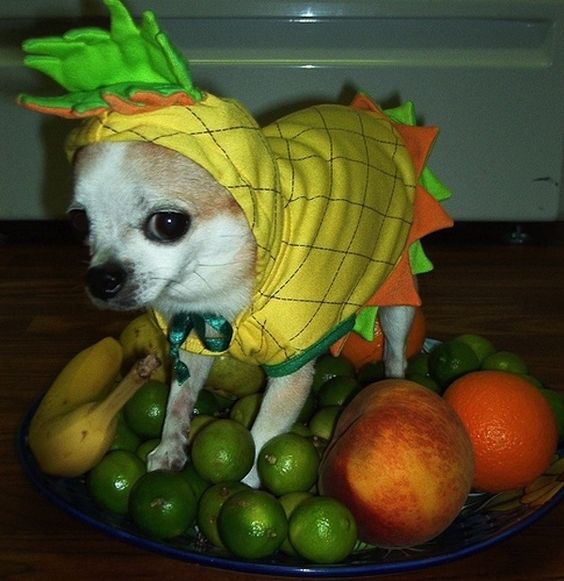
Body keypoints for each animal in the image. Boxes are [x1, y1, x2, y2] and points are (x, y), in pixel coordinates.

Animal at [69, 139, 414, 484]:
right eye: (79, 221)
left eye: (168, 224)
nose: (100, 279)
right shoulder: (194, 339)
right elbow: (178, 400)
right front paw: (169, 447)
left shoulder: (291, 372)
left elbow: (262, 437)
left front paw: (245, 485)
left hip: (396, 297)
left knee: (396, 352)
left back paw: (394, 384)